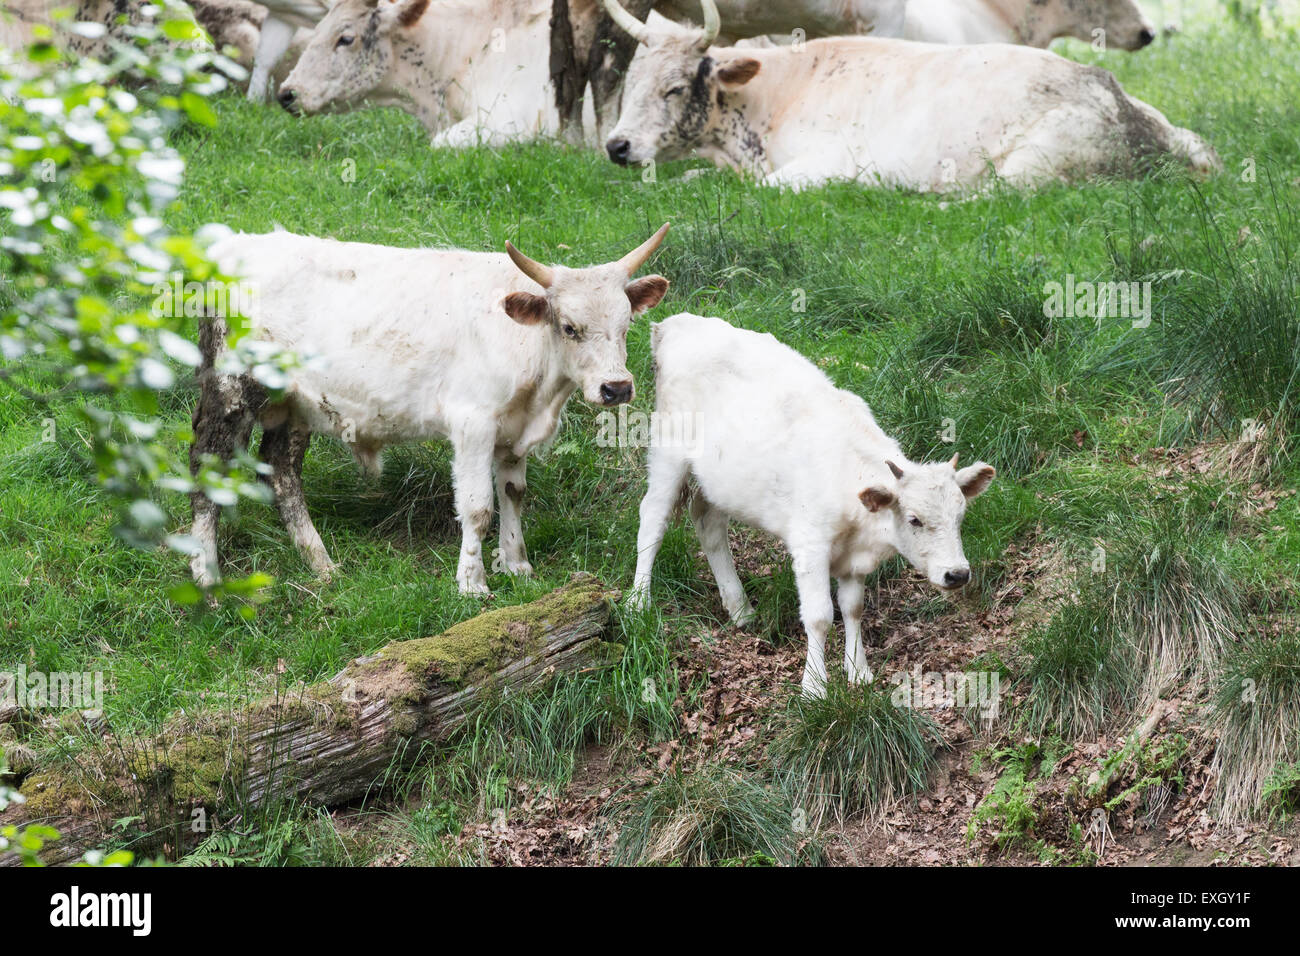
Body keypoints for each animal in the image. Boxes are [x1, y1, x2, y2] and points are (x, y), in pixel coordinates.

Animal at [197, 227, 676, 595]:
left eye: (625, 325)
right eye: (569, 327)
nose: (616, 387)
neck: (540, 391)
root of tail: (231, 246)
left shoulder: (514, 432)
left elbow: (513, 493)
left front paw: (517, 565)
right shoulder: (473, 423)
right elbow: (478, 506)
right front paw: (472, 583)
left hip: (294, 403)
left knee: (282, 470)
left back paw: (321, 563)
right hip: (231, 389)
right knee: (206, 466)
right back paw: (206, 577)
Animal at [629, 314, 993, 697]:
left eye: (960, 516)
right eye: (914, 519)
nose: (958, 574)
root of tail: (678, 322)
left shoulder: (853, 560)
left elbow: (852, 609)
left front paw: (858, 671)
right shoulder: (810, 545)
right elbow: (820, 616)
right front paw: (814, 687)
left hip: (716, 483)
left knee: (709, 525)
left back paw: (740, 608)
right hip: (668, 453)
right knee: (652, 519)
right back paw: (638, 603)